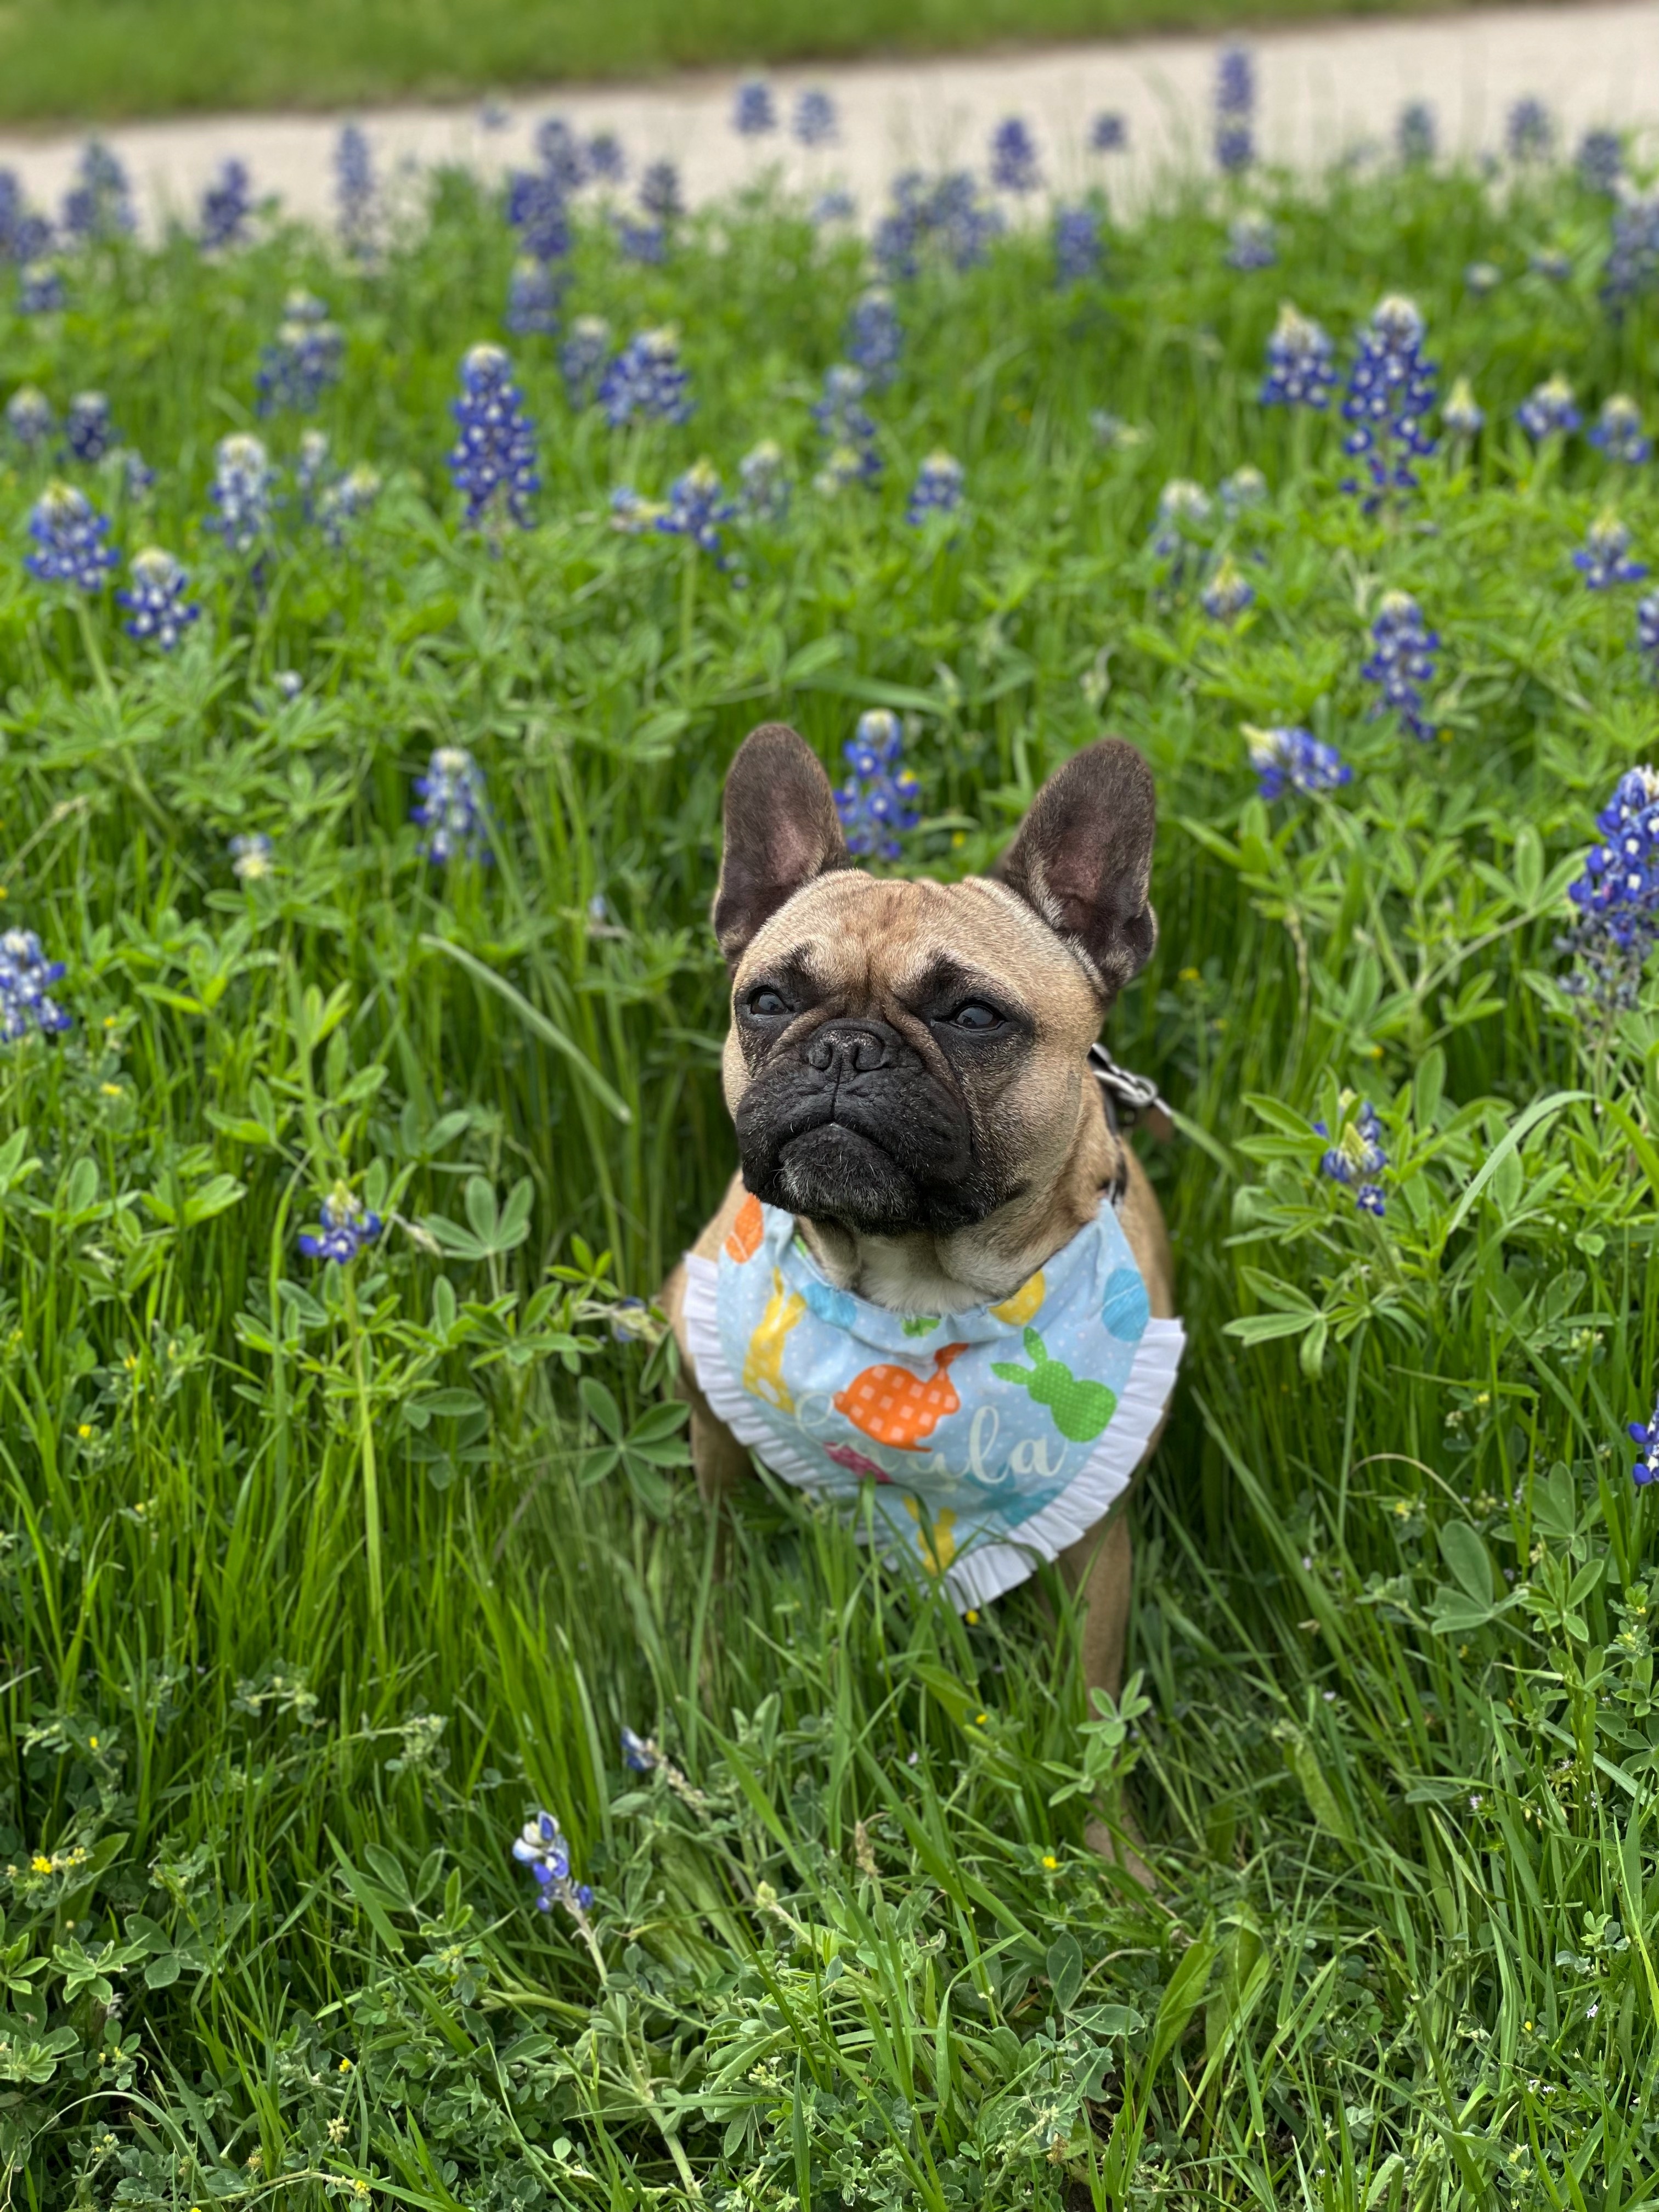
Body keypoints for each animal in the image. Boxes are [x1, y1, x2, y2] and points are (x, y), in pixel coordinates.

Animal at [663, 725, 1186, 1849]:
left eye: (974, 1015)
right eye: (766, 999)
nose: (842, 1047)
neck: (912, 1288)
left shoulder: (1097, 1545)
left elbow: (1093, 1710)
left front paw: (1113, 1860)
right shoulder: (717, 1423)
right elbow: (716, 1571)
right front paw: (707, 1694)